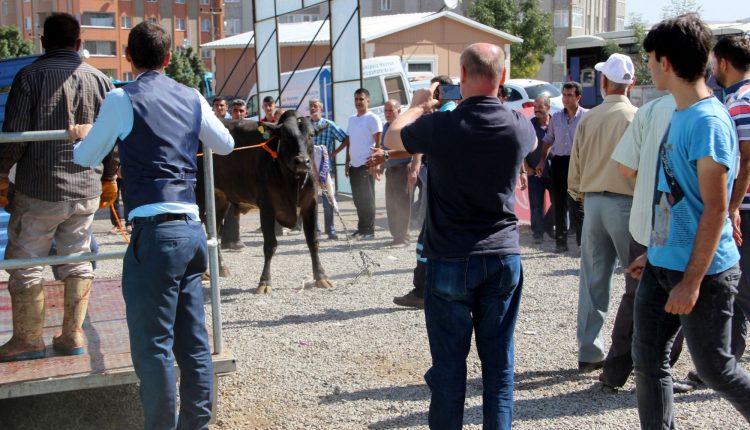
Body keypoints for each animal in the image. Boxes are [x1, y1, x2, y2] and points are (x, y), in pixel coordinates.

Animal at [198, 109, 334, 294]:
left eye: (312, 135)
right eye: (285, 135)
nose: (301, 161)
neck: (294, 181)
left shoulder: (310, 204)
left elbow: (313, 241)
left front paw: (321, 276)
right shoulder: (267, 206)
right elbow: (270, 245)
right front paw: (264, 282)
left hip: (220, 199)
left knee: (214, 230)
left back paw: (221, 268)